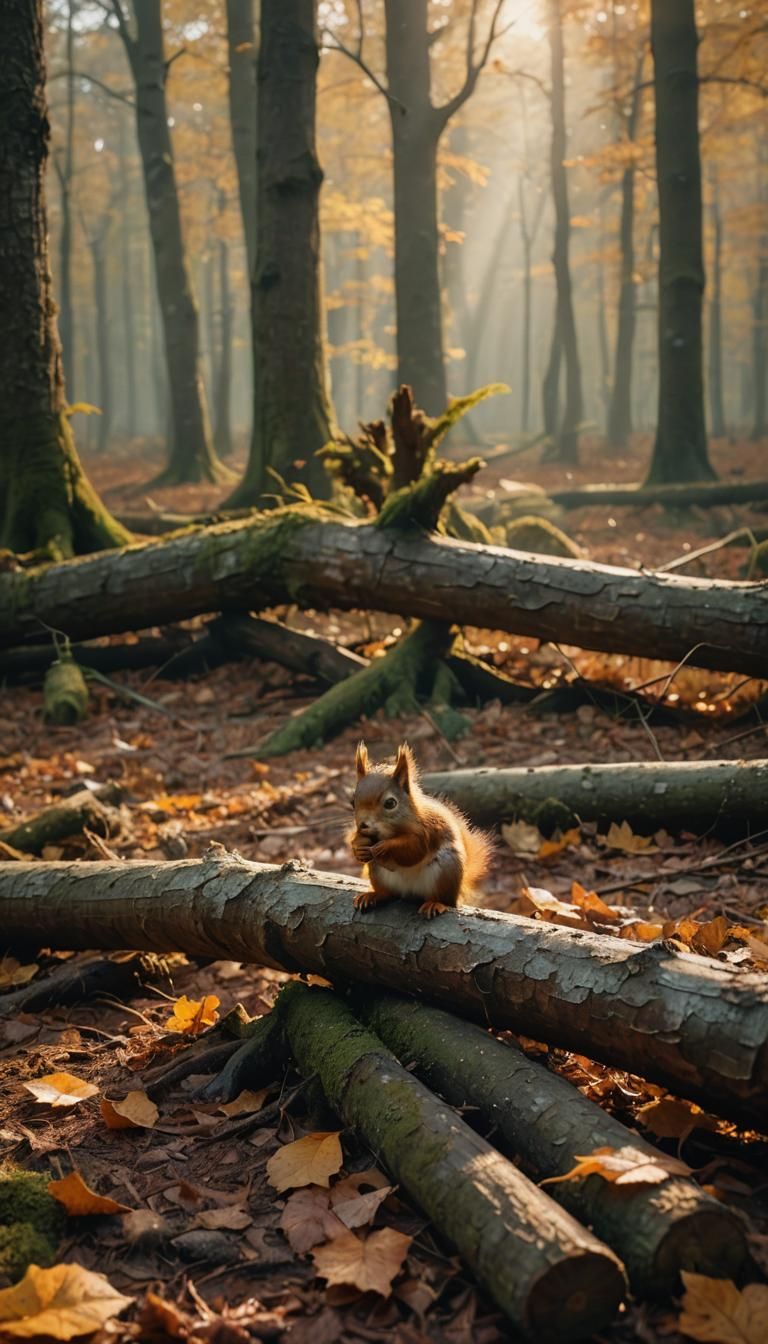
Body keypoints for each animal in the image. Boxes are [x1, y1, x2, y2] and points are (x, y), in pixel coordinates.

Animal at [348, 741, 492, 919]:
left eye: (390, 803)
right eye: (352, 802)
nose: (362, 825)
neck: (388, 832)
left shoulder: (426, 832)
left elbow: (414, 850)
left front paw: (385, 847)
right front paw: (358, 846)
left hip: (446, 871)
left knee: (444, 899)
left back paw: (435, 904)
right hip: (377, 873)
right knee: (388, 893)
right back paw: (373, 895)